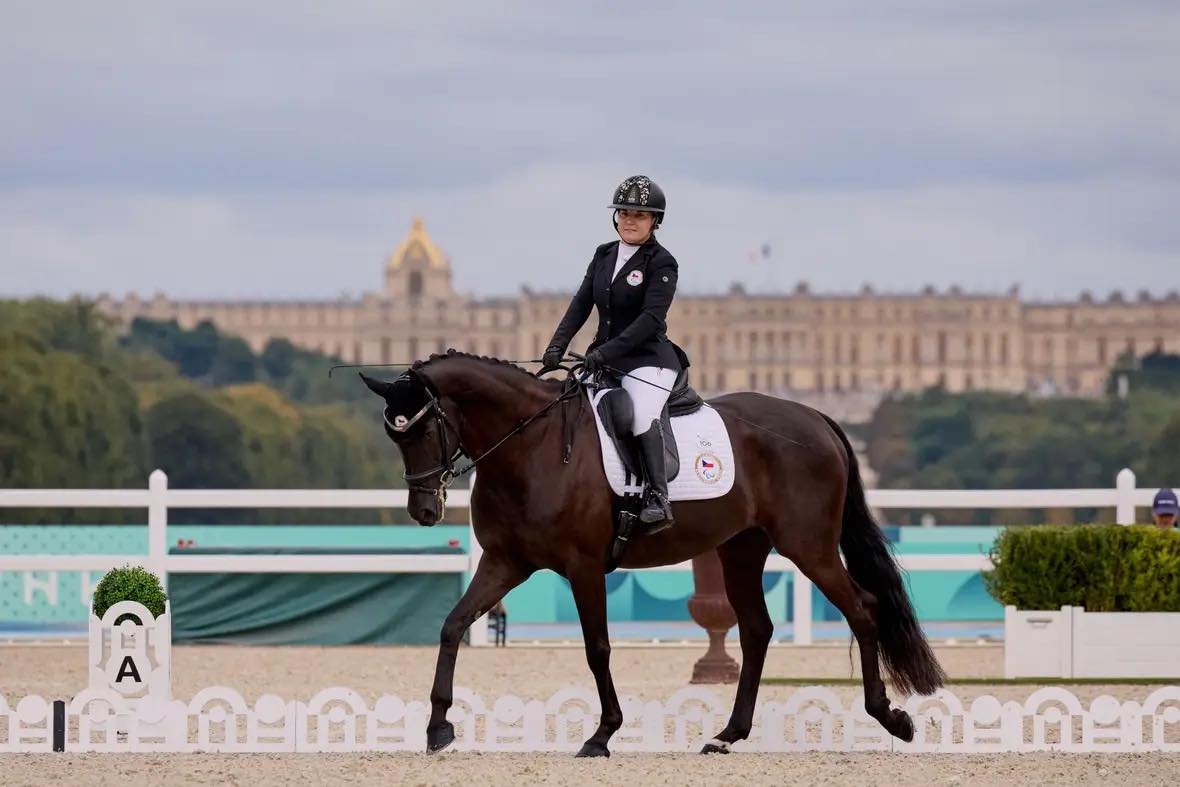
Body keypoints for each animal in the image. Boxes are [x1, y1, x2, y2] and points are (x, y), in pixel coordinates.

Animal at [358, 351, 948, 755]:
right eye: (394, 435)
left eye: (422, 428)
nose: (424, 510)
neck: (533, 446)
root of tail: (816, 418)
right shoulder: (505, 563)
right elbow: (452, 626)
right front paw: (438, 727)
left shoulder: (583, 567)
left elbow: (597, 647)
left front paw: (602, 734)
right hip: (742, 549)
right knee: (757, 630)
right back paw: (728, 734)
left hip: (809, 547)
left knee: (862, 608)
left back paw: (891, 717)